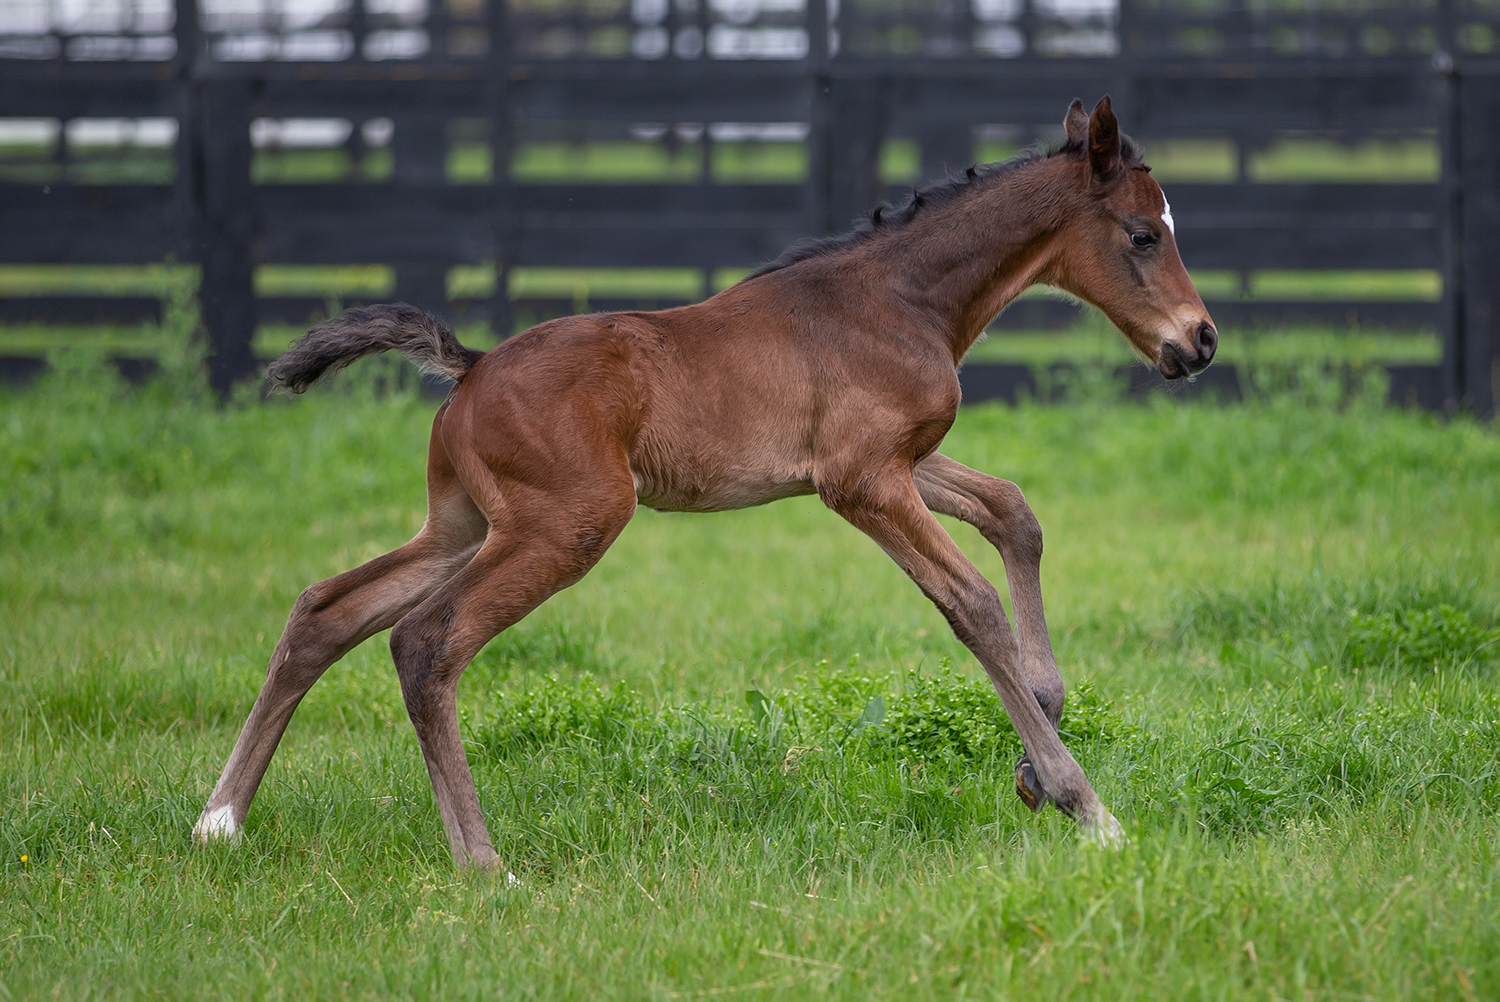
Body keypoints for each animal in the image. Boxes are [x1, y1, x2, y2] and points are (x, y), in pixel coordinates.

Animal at [193, 97, 1212, 864]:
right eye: (1141, 236)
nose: (1198, 343)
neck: (899, 300)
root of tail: (469, 368)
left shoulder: (900, 463)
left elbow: (1014, 513)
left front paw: (1037, 759)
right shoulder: (861, 482)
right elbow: (972, 607)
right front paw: (1087, 805)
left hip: (464, 524)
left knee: (326, 611)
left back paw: (219, 822)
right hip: (568, 521)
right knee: (424, 641)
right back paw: (483, 862)